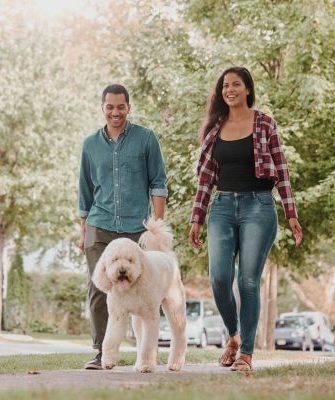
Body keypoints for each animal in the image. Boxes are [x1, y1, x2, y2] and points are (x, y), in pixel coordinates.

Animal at [92, 217, 188, 374]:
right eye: (114, 259)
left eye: (130, 260)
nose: (122, 271)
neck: (131, 287)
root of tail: (166, 255)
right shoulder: (117, 315)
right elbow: (111, 338)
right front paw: (108, 362)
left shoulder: (150, 317)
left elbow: (148, 344)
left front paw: (147, 366)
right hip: (137, 319)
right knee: (139, 338)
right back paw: (138, 364)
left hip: (174, 307)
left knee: (179, 335)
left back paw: (175, 364)